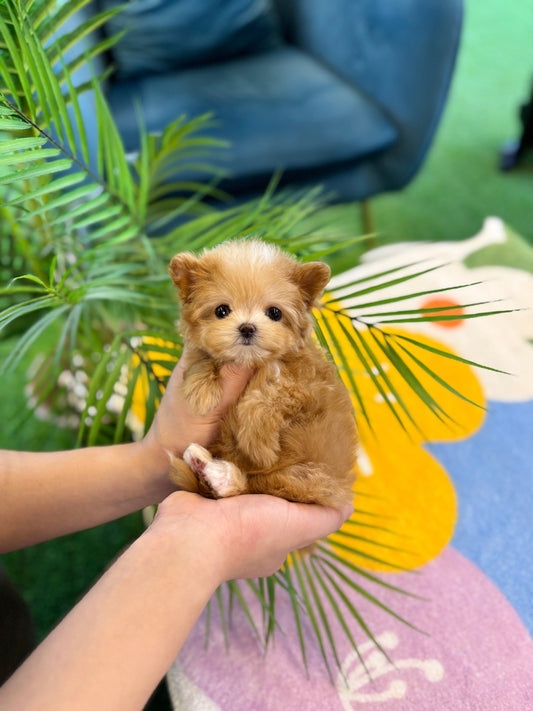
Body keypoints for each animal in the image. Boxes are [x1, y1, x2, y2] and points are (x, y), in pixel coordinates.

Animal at [168, 239, 356, 512]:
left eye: (275, 313)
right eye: (221, 311)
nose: (247, 327)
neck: (251, 362)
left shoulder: (310, 384)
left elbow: (273, 393)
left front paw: (257, 442)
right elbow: (202, 360)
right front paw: (202, 390)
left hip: (309, 477)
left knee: (256, 486)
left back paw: (219, 475)